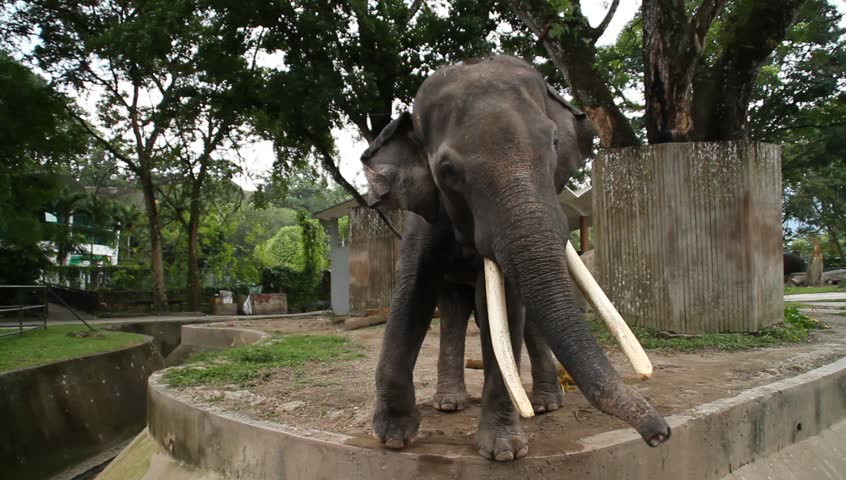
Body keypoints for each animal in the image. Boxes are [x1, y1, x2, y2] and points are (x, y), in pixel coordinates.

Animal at [360, 54, 670, 461]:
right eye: (446, 170)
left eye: (554, 142)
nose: (661, 434)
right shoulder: (422, 221)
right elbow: (412, 292)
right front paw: (393, 437)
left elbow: (506, 307)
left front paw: (504, 451)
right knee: (453, 310)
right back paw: (449, 403)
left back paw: (545, 404)